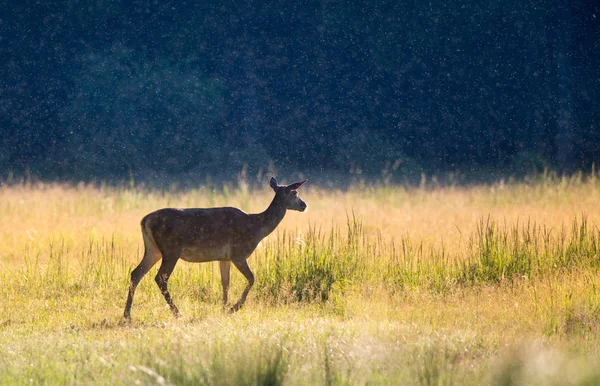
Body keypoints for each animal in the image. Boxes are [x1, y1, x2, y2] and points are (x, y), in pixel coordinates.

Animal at [123, 176, 308, 318]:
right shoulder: (238, 253)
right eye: (295, 193)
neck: (256, 228)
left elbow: (225, 283)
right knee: (160, 278)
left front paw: (223, 309)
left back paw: (127, 315)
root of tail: (145, 220)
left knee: (136, 273)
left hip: (153, 249)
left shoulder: (224, 257)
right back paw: (177, 313)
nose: (304, 205)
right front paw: (234, 308)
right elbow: (251, 278)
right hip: (170, 250)